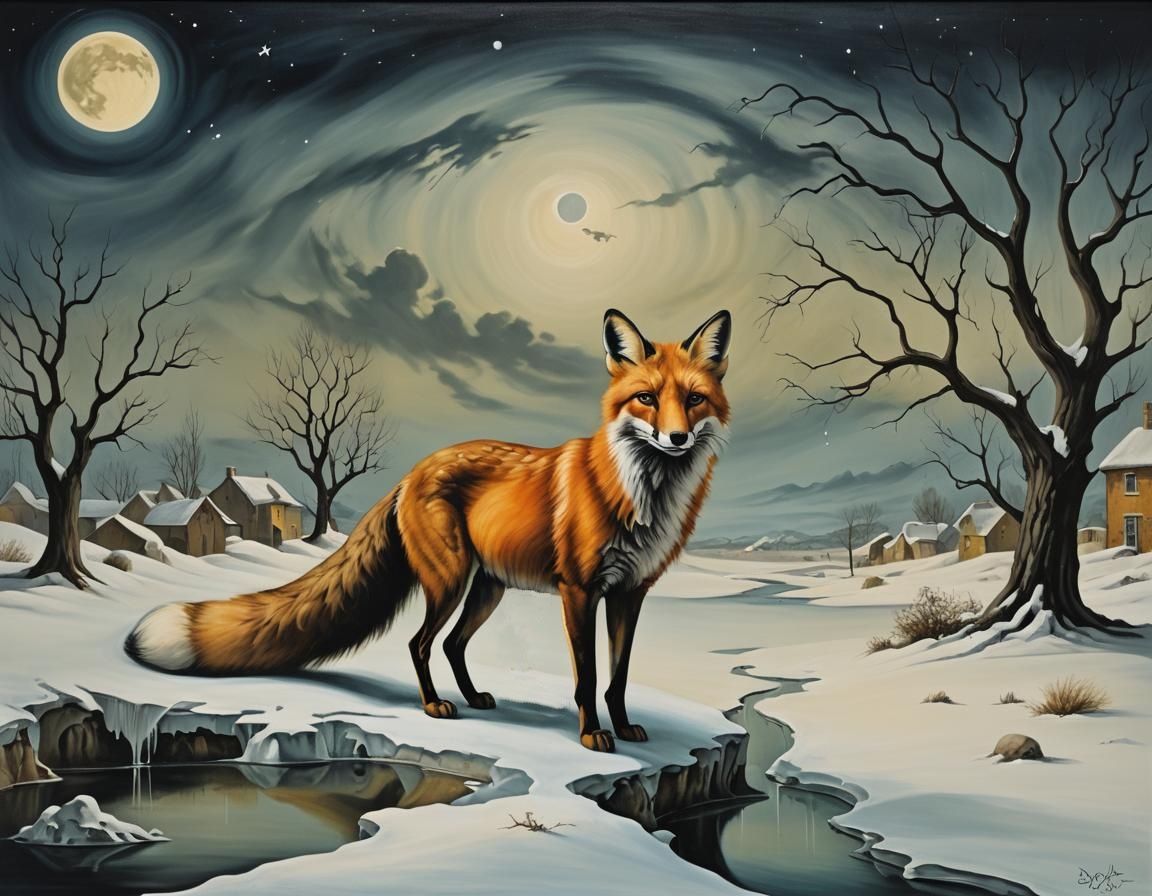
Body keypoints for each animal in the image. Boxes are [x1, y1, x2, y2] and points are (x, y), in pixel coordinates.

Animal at [125, 308, 731, 752]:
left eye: (693, 399)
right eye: (646, 398)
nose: (677, 438)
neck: (643, 497)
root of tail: (411, 472)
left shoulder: (630, 592)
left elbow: (618, 675)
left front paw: (623, 726)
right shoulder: (579, 591)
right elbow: (586, 677)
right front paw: (590, 735)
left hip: (485, 588)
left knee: (453, 644)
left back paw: (473, 697)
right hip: (450, 581)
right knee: (420, 643)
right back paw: (434, 705)